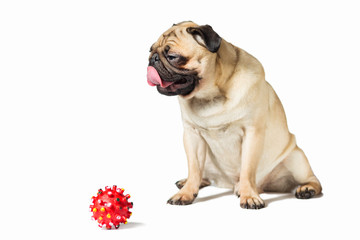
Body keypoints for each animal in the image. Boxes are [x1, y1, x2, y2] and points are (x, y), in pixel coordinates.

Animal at [148, 21, 322, 208]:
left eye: (173, 56)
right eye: (150, 50)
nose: (152, 59)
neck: (209, 95)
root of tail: (228, 184)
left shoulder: (252, 133)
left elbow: (247, 169)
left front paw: (249, 195)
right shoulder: (192, 136)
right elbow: (194, 169)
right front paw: (186, 193)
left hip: (296, 159)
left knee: (314, 180)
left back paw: (306, 189)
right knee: (202, 173)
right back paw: (189, 182)